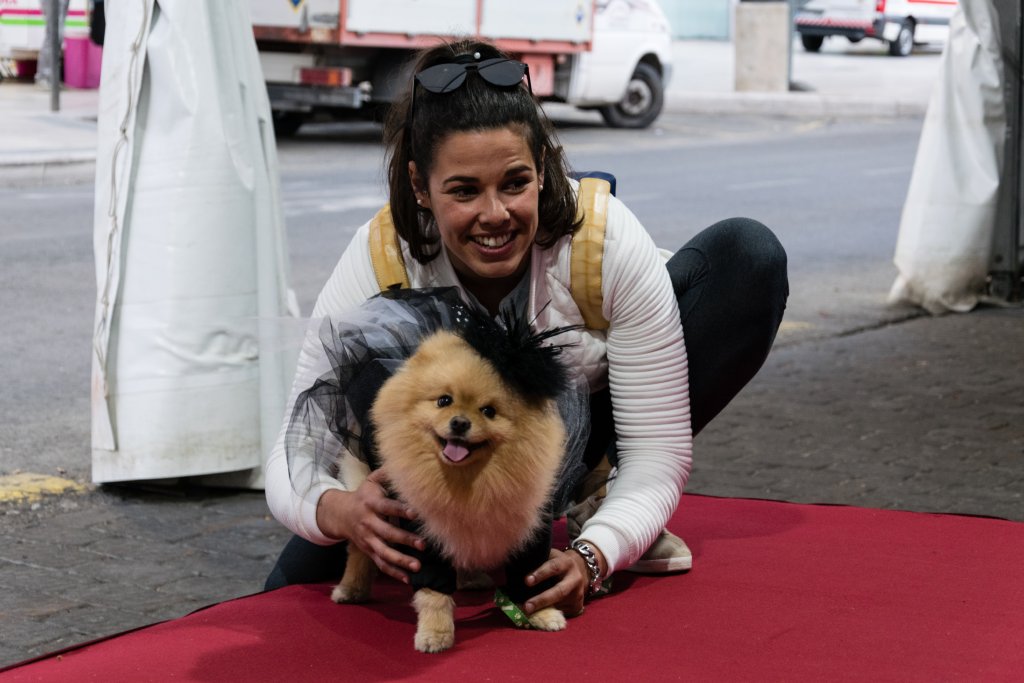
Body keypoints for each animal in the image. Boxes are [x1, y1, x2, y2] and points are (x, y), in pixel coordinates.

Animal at [330, 320, 572, 653]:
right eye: (444, 400)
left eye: (488, 411)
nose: (459, 422)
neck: (471, 481)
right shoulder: (422, 531)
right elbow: (434, 592)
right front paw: (436, 632)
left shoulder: (533, 528)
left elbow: (530, 578)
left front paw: (542, 613)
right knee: (359, 547)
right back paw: (350, 589)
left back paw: (470, 577)